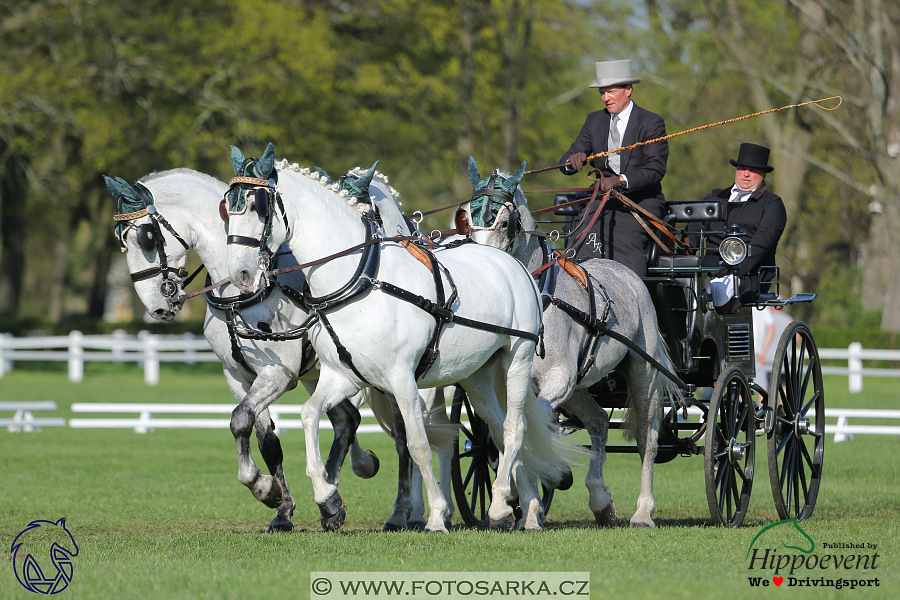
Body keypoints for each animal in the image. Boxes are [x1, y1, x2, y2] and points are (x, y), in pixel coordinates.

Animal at [106, 166, 454, 532]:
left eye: (146, 237)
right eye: (121, 241)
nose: (158, 307)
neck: (242, 294)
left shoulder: (277, 374)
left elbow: (240, 419)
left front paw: (266, 488)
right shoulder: (238, 376)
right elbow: (265, 439)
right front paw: (281, 505)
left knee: (401, 436)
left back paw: (402, 511)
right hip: (323, 373)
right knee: (347, 420)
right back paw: (336, 492)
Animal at [224, 143, 576, 532]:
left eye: (258, 206)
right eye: (227, 207)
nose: (240, 275)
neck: (360, 280)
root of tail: (512, 264)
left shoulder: (403, 379)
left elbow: (418, 444)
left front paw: (435, 514)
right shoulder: (343, 376)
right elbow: (309, 415)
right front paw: (328, 499)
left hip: (517, 358)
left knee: (515, 427)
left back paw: (506, 506)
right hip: (477, 374)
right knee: (497, 430)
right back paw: (520, 507)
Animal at [460, 157, 680, 528]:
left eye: (504, 223)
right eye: (468, 223)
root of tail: (627, 274)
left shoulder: (557, 380)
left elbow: (529, 428)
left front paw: (513, 502)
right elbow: (507, 431)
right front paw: (525, 505)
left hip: (641, 372)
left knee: (647, 438)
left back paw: (643, 511)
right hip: (579, 388)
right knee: (599, 422)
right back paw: (600, 499)